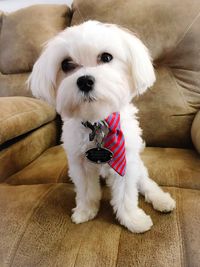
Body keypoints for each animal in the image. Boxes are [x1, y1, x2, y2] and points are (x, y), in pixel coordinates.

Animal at [28, 21, 176, 233]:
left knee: (146, 182)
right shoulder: (80, 164)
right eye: (66, 64)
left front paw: (133, 220)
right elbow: (86, 191)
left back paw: (162, 200)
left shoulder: (125, 161)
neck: (97, 121)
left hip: (138, 166)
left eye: (106, 57)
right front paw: (85, 211)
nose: (84, 81)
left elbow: (126, 194)